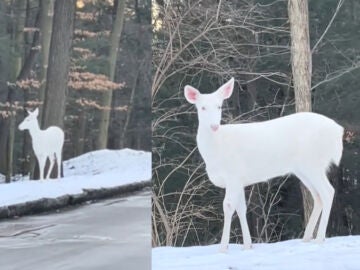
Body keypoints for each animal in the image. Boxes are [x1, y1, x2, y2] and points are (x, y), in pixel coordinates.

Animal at [184, 77, 344, 251]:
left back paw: (319, 239)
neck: (216, 150)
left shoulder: (233, 174)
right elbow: (241, 208)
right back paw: (306, 238)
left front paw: (223, 248)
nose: (214, 126)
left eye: (219, 106)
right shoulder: (239, 180)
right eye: (202, 107)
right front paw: (247, 246)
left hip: (313, 162)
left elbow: (228, 206)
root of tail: (338, 131)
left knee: (328, 192)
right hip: (303, 169)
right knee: (318, 196)